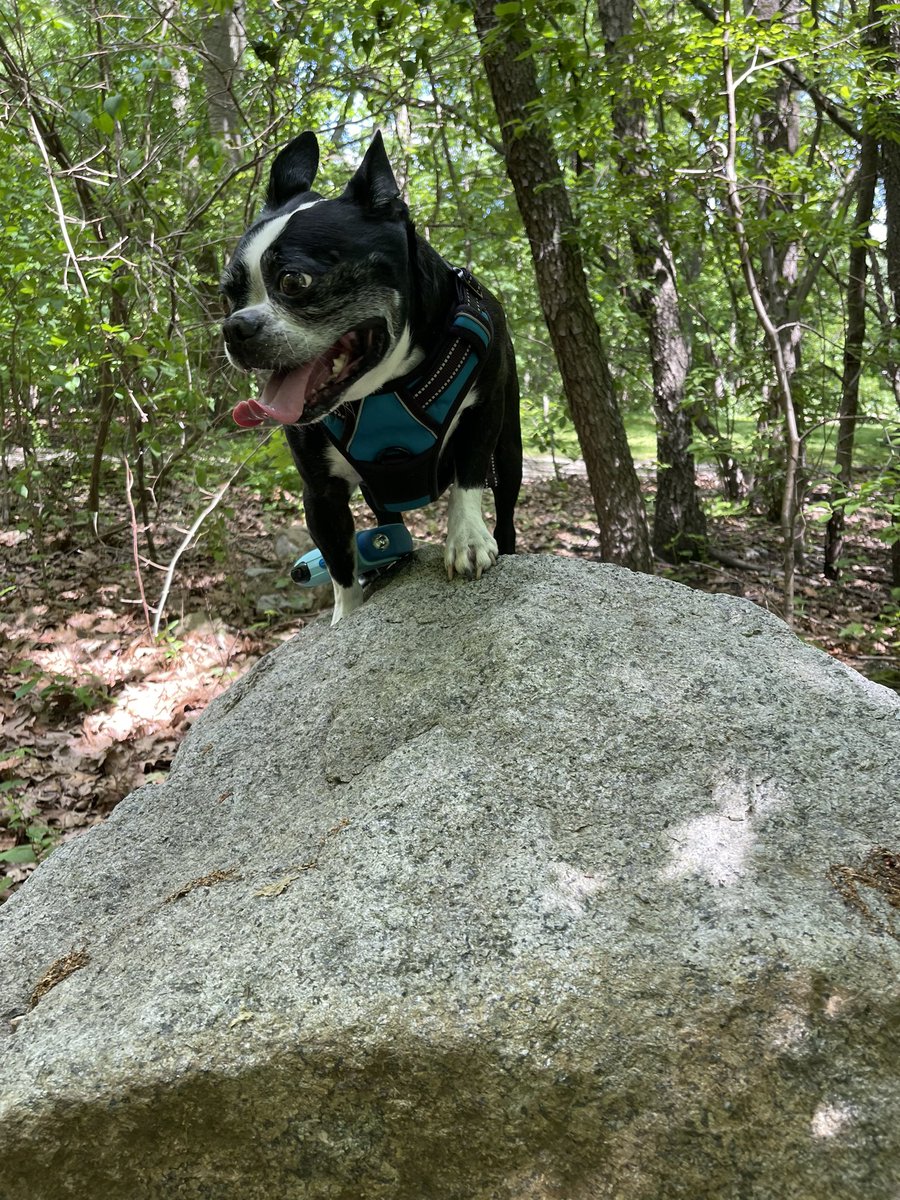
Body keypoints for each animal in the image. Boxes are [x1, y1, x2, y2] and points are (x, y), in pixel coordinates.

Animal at [220, 129, 525, 628]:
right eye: (228, 293)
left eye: (294, 281)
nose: (234, 327)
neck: (386, 388)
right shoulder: (321, 496)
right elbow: (340, 563)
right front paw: (346, 615)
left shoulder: (483, 414)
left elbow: (468, 478)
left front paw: (466, 539)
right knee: (387, 527)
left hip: (511, 451)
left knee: (504, 503)